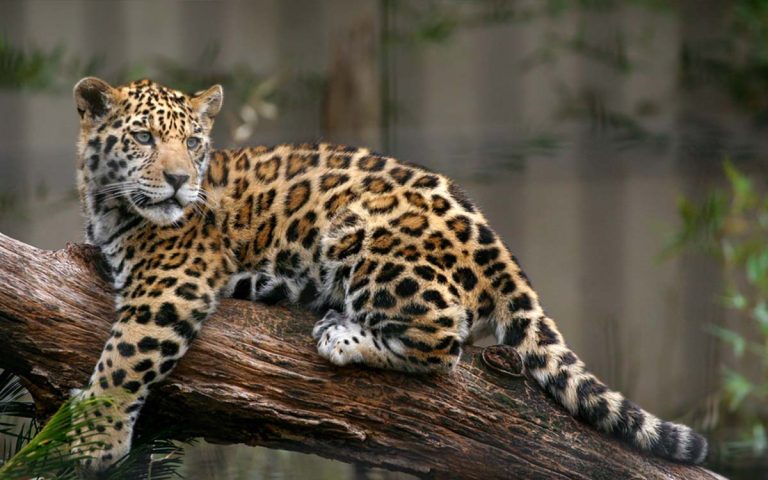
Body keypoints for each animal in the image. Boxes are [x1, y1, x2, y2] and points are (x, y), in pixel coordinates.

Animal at [70, 76, 708, 472]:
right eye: (144, 137)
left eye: (195, 143)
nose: (181, 181)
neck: (106, 203)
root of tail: (495, 241)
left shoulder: (172, 281)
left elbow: (126, 357)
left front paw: (91, 438)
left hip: (366, 236)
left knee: (444, 341)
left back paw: (342, 335)